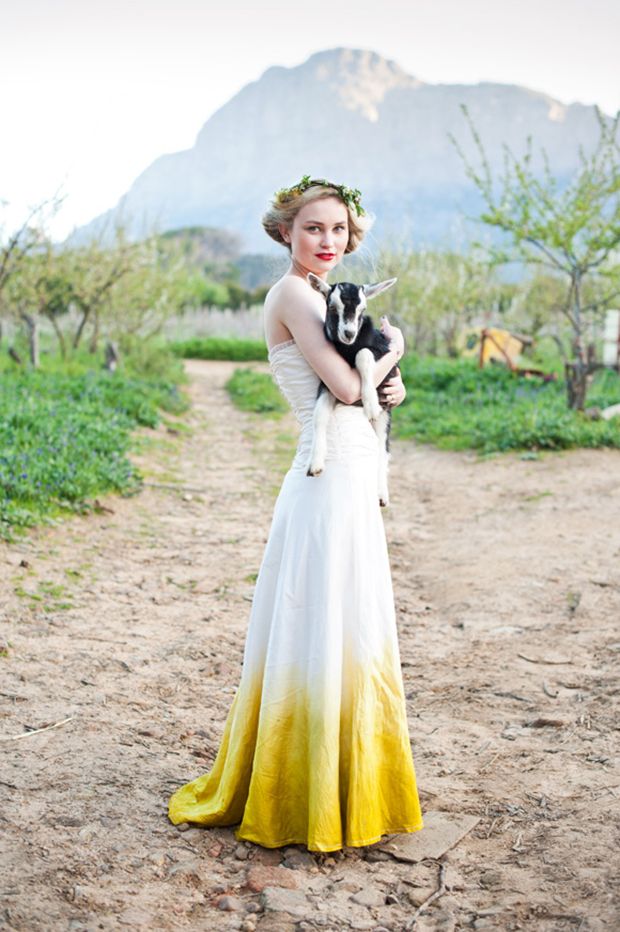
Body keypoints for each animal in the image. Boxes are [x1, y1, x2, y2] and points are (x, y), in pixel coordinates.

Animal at [304, 274, 398, 510]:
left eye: (362, 309)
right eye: (331, 306)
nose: (349, 333)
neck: (347, 350)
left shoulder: (381, 353)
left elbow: (363, 355)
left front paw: (370, 403)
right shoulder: (329, 381)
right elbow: (319, 415)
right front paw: (315, 463)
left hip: (386, 416)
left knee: (382, 449)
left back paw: (381, 495)